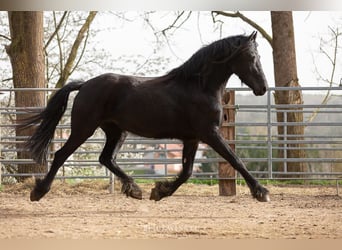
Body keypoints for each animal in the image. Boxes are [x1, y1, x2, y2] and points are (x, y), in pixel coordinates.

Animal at [20, 31, 270, 203]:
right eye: (251, 56)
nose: (263, 88)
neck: (199, 86)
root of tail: (85, 84)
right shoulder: (209, 133)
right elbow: (235, 160)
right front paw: (261, 192)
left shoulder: (192, 138)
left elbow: (187, 172)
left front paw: (159, 191)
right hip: (84, 128)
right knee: (62, 155)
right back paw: (38, 191)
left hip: (116, 131)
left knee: (106, 158)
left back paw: (134, 189)